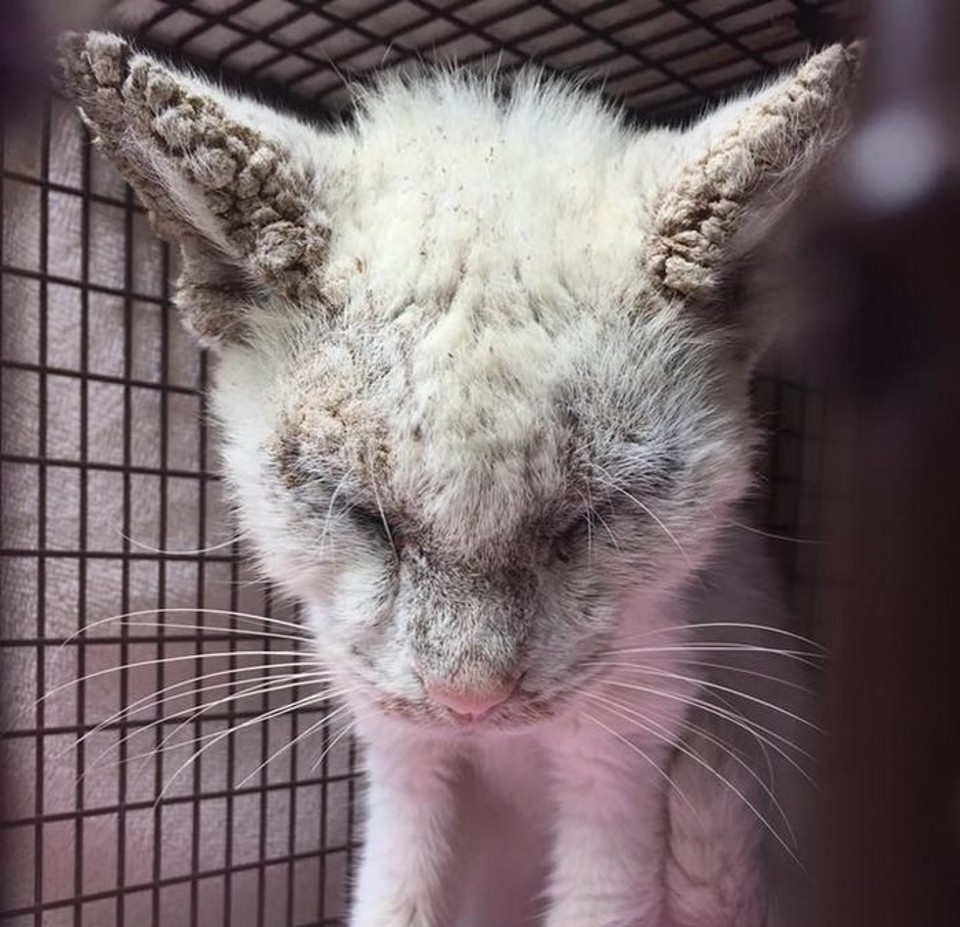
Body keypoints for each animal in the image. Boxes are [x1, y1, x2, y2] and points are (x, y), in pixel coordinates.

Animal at [56, 34, 860, 927]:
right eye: (361, 514)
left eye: (591, 518)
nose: (470, 700)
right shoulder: (402, 753)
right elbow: (393, 899)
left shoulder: (626, 753)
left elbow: (601, 897)